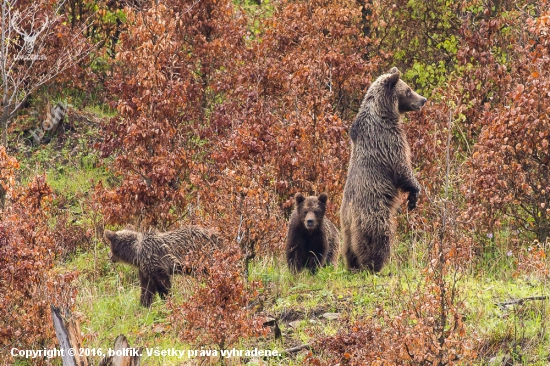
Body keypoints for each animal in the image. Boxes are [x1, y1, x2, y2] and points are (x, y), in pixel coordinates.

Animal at [342, 67, 430, 272]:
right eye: (408, 90)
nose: (423, 99)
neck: (384, 113)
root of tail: (350, 216)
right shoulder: (388, 140)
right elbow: (402, 167)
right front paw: (414, 194)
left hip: (346, 227)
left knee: (349, 247)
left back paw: (353, 265)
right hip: (374, 211)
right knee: (379, 237)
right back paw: (374, 265)